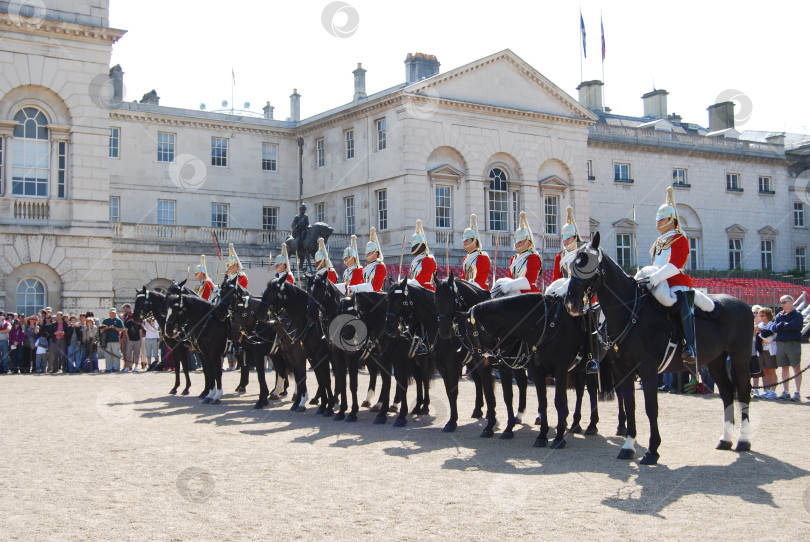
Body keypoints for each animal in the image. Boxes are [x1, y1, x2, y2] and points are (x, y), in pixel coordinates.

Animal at [560, 232, 752, 466]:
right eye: (571, 266)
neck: (631, 312)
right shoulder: (622, 369)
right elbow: (630, 404)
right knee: (726, 392)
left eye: (588, 265)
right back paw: (725, 439)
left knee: (744, 392)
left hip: (740, 358)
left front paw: (652, 450)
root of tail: (742, 304)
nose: (571, 303)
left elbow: (651, 408)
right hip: (716, 360)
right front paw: (628, 446)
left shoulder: (648, 369)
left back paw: (743, 440)